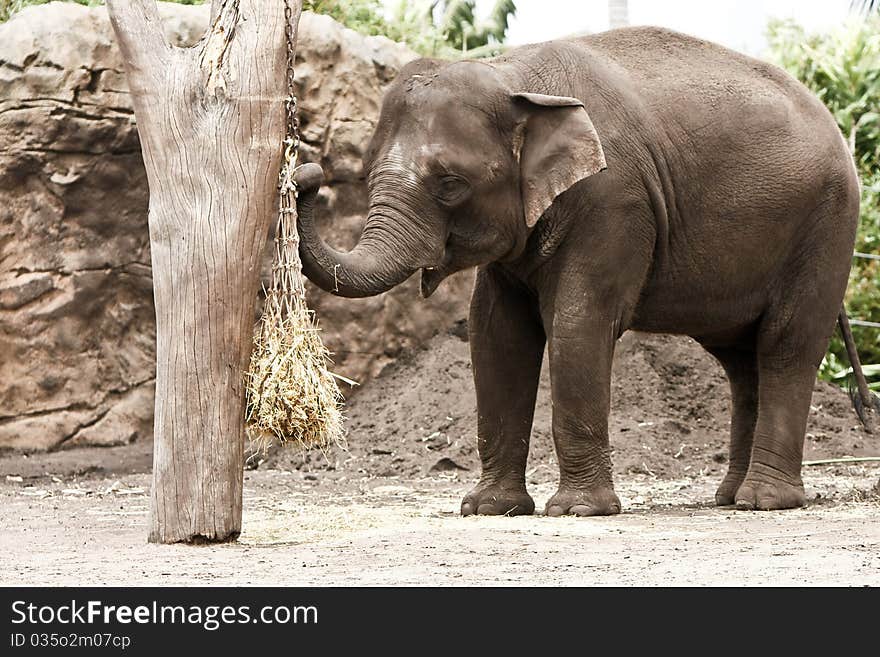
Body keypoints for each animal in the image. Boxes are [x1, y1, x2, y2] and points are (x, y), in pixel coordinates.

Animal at [294, 25, 860, 516]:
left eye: (451, 183)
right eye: (367, 171)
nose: (306, 173)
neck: (514, 75)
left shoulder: (614, 200)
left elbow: (577, 322)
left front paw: (578, 511)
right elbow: (495, 333)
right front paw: (488, 509)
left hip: (827, 228)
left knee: (785, 346)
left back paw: (765, 501)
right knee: (742, 364)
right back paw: (729, 498)